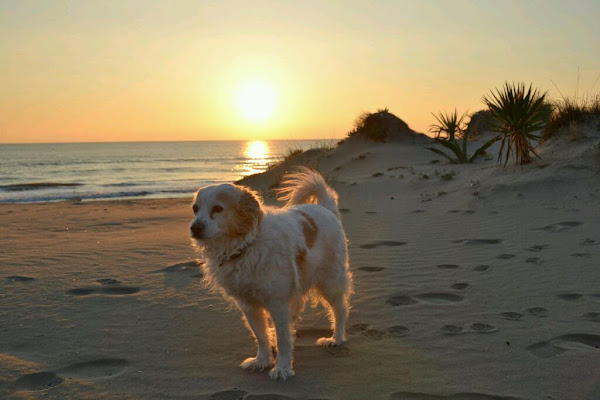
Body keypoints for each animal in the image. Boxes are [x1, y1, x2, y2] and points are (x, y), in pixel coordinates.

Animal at [190, 169, 352, 382]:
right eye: (195, 209)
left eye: (217, 208)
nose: (194, 227)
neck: (246, 246)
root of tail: (325, 207)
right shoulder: (249, 306)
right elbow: (260, 336)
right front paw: (262, 360)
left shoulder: (277, 303)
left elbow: (283, 340)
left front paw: (282, 367)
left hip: (330, 282)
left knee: (340, 310)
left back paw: (336, 338)